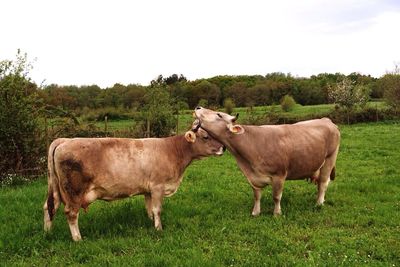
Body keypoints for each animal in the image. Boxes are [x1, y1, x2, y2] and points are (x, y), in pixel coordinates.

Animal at [43, 126, 225, 242]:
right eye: (206, 137)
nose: (223, 147)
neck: (172, 150)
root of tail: (64, 140)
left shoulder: (148, 190)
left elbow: (150, 208)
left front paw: (151, 222)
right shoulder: (158, 186)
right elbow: (158, 209)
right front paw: (159, 229)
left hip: (57, 189)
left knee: (49, 207)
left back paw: (48, 232)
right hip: (73, 191)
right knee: (71, 213)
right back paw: (77, 239)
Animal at [194, 105, 340, 217]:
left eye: (219, 114)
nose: (198, 107)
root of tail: (326, 120)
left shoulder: (279, 175)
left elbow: (276, 196)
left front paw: (276, 213)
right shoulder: (253, 177)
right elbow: (257, 196)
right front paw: (255, 212)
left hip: (330, 159)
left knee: (323, 183)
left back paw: (319, 203)